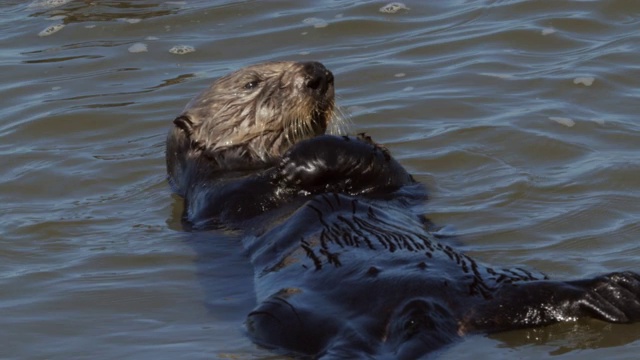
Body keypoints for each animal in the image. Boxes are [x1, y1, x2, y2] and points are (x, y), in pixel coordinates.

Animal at [166, 61, 640, 358]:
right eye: (251, 83)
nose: (319, 74)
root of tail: (428, 312)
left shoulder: (394, 186)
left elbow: (392, 175)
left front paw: (337, 145)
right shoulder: (213, 198)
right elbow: (251, 192)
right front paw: (298, 159)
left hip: (499, 282)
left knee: (528, 299)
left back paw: (614, 291)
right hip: (281, 317)